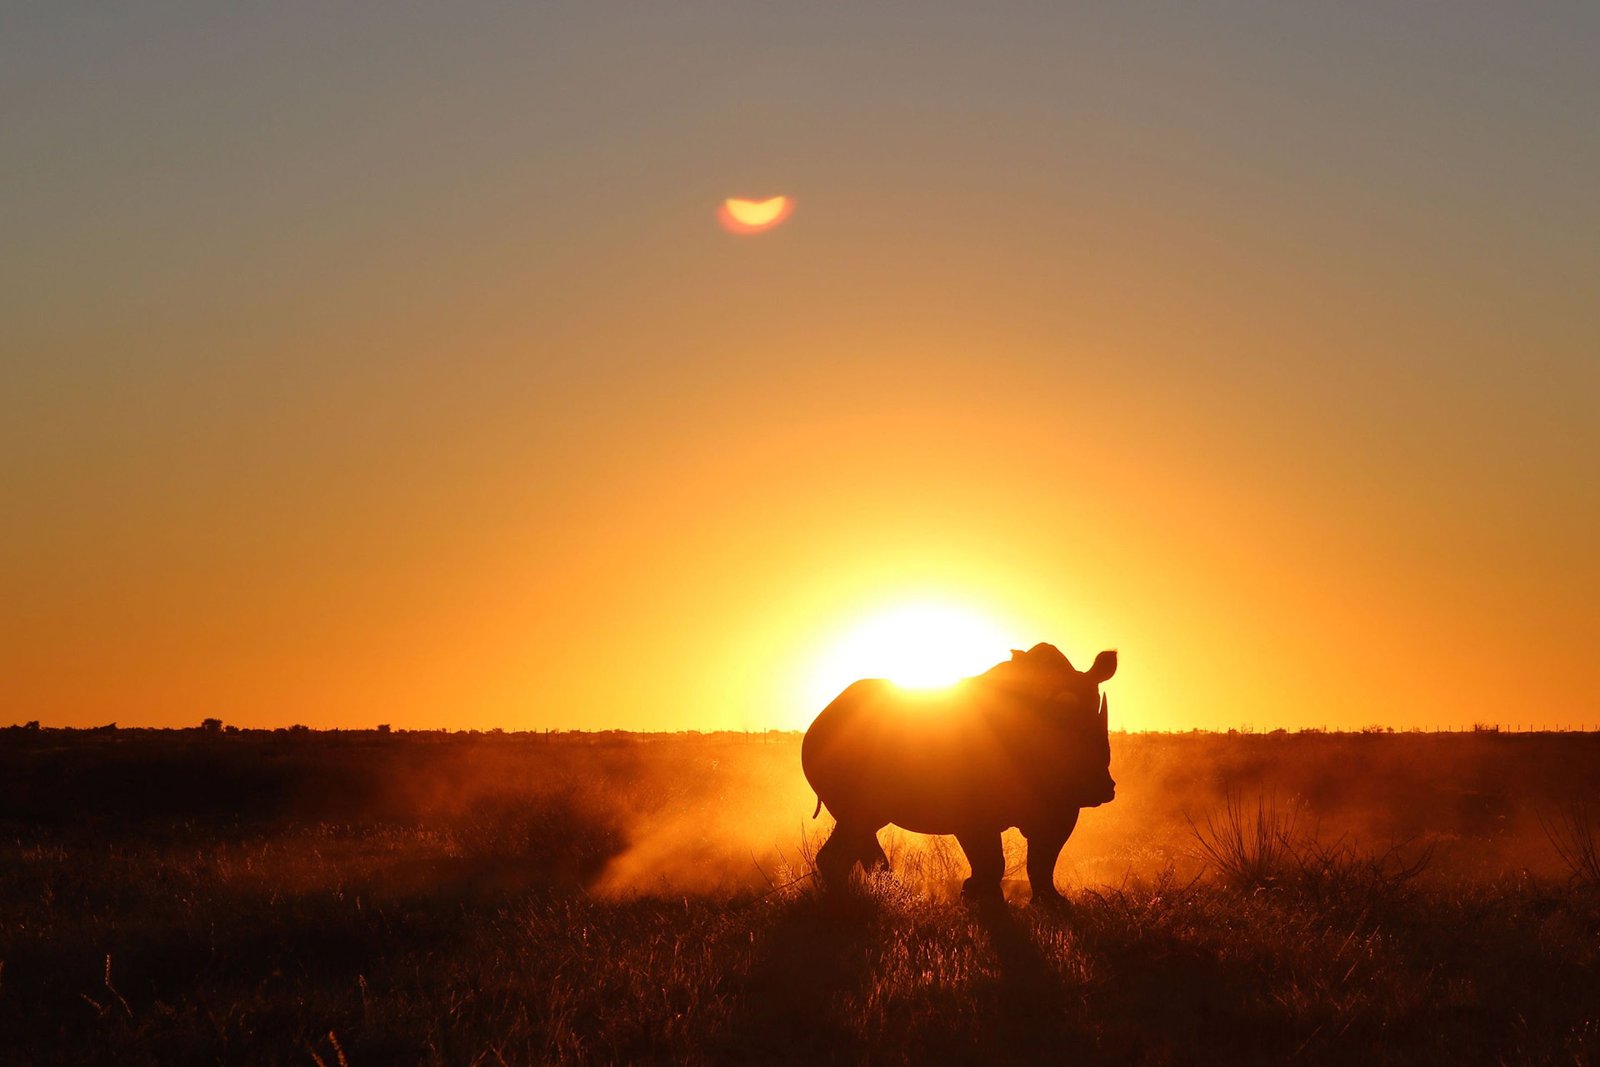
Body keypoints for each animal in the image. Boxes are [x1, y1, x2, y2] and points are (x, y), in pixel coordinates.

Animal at [802, 642, 1117, 906]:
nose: (1100, 788)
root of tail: (820, 718)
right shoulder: (971, 806)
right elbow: (991, 858)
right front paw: (981, 898)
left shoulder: (1062, 801)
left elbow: (1044, 858)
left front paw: (1052, 902)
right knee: (858, 822)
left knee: (860, 827)